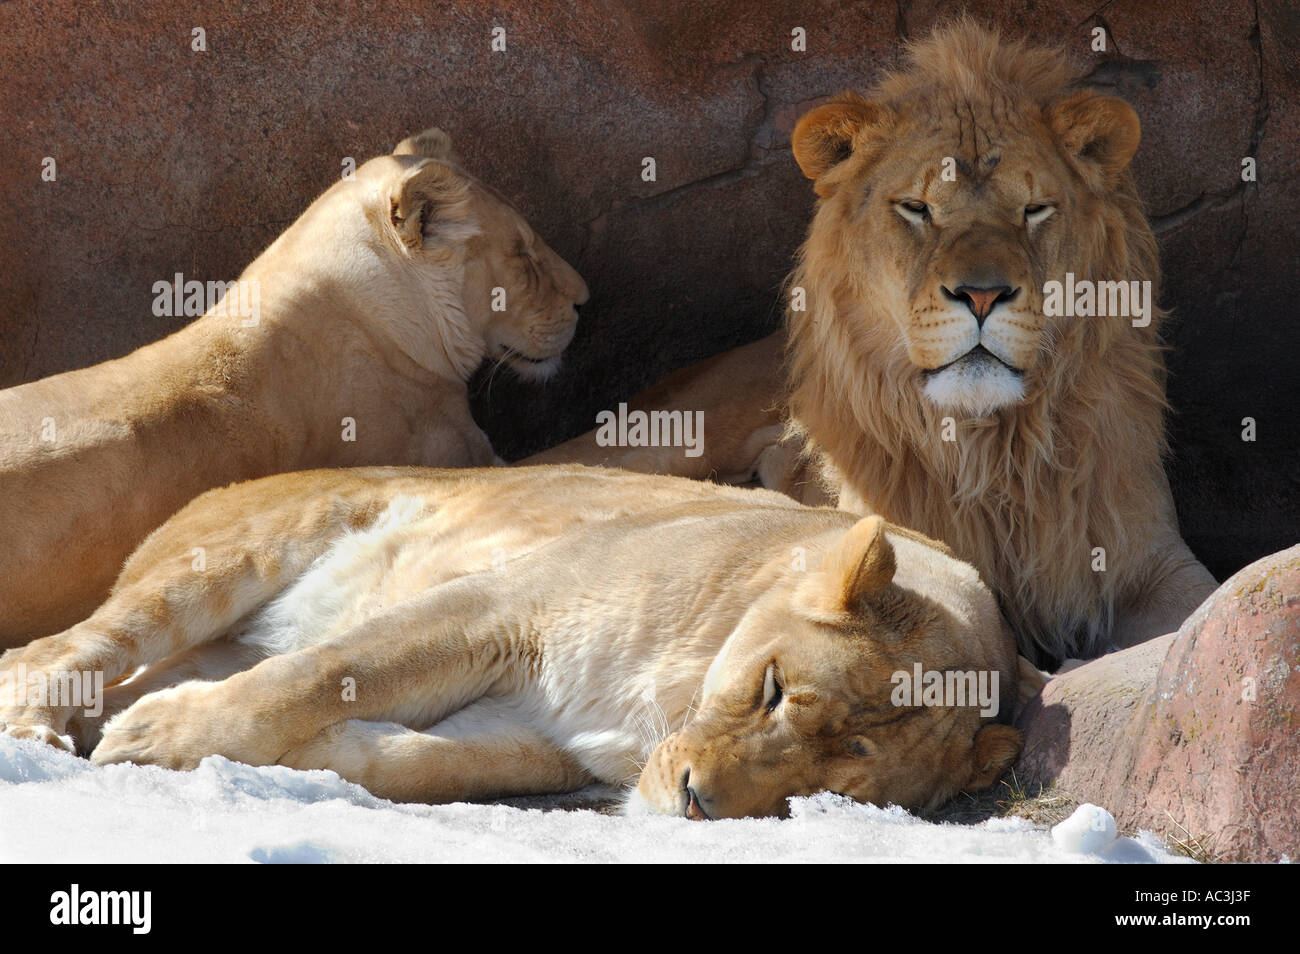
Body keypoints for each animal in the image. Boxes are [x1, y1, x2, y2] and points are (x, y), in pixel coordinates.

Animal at [0, 467, 1024, 816]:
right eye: (773, 691)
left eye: (828, 785)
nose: (696, 803)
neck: (659, 707)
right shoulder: (499, 606)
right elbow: (321, 672)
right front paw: (158, 742)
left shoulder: (541, 735)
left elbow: (432, 766)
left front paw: (314, 759)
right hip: (236, 554)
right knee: (50, 651)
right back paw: (45, 728)